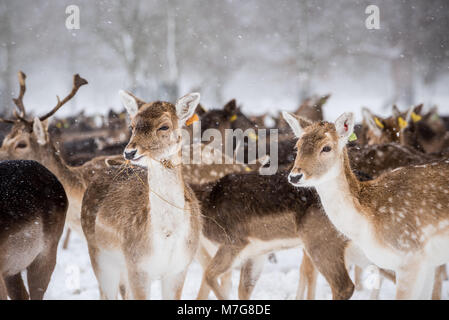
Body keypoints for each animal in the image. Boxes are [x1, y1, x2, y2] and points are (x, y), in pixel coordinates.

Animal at [80, 90, 201, 300]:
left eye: (164, 126)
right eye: (132, 126)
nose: (129, 152)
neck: (165, 236)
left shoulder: (179, 268)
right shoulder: (137, 265)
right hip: (99, 255)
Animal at [284, 111, 448, 298]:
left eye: (326, 147)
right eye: (297, 147)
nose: (295, 176)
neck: (368, 223)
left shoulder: (411, 256)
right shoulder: (427, 263)